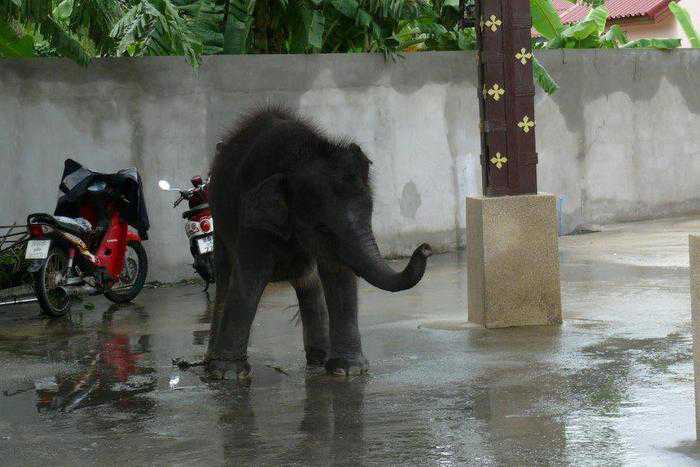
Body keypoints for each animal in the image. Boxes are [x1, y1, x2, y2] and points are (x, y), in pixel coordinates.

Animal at [205, 108, 430, 378]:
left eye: (370, 215)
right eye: (322, 228)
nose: (425, 248)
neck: (300, 155)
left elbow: (337, 273)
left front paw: (348, 370)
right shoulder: (252, 216)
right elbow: (251, 274)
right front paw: (229, 374)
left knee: (308, 282)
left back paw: (318, 359)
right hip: (220, 224)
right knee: (225, 278)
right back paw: (210, 363)